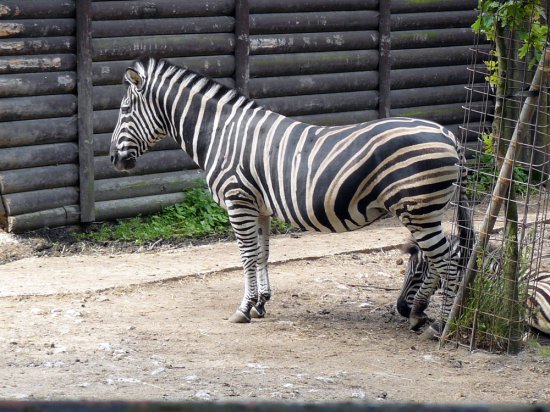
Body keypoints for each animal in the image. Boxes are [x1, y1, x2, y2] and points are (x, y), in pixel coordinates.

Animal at [111, 58, 470, 332]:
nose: (114, 160)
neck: (221, 133)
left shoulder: (237, 199)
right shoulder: (259, 206)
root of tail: (447, 134)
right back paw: (419, 315)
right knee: (438, 258)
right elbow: (262, 255)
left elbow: (246, 256)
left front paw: (243, 309)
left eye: (125, 110)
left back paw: (442, 324)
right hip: (426, 210)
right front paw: (260, 304)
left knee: (449, 260)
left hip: (418, 209)